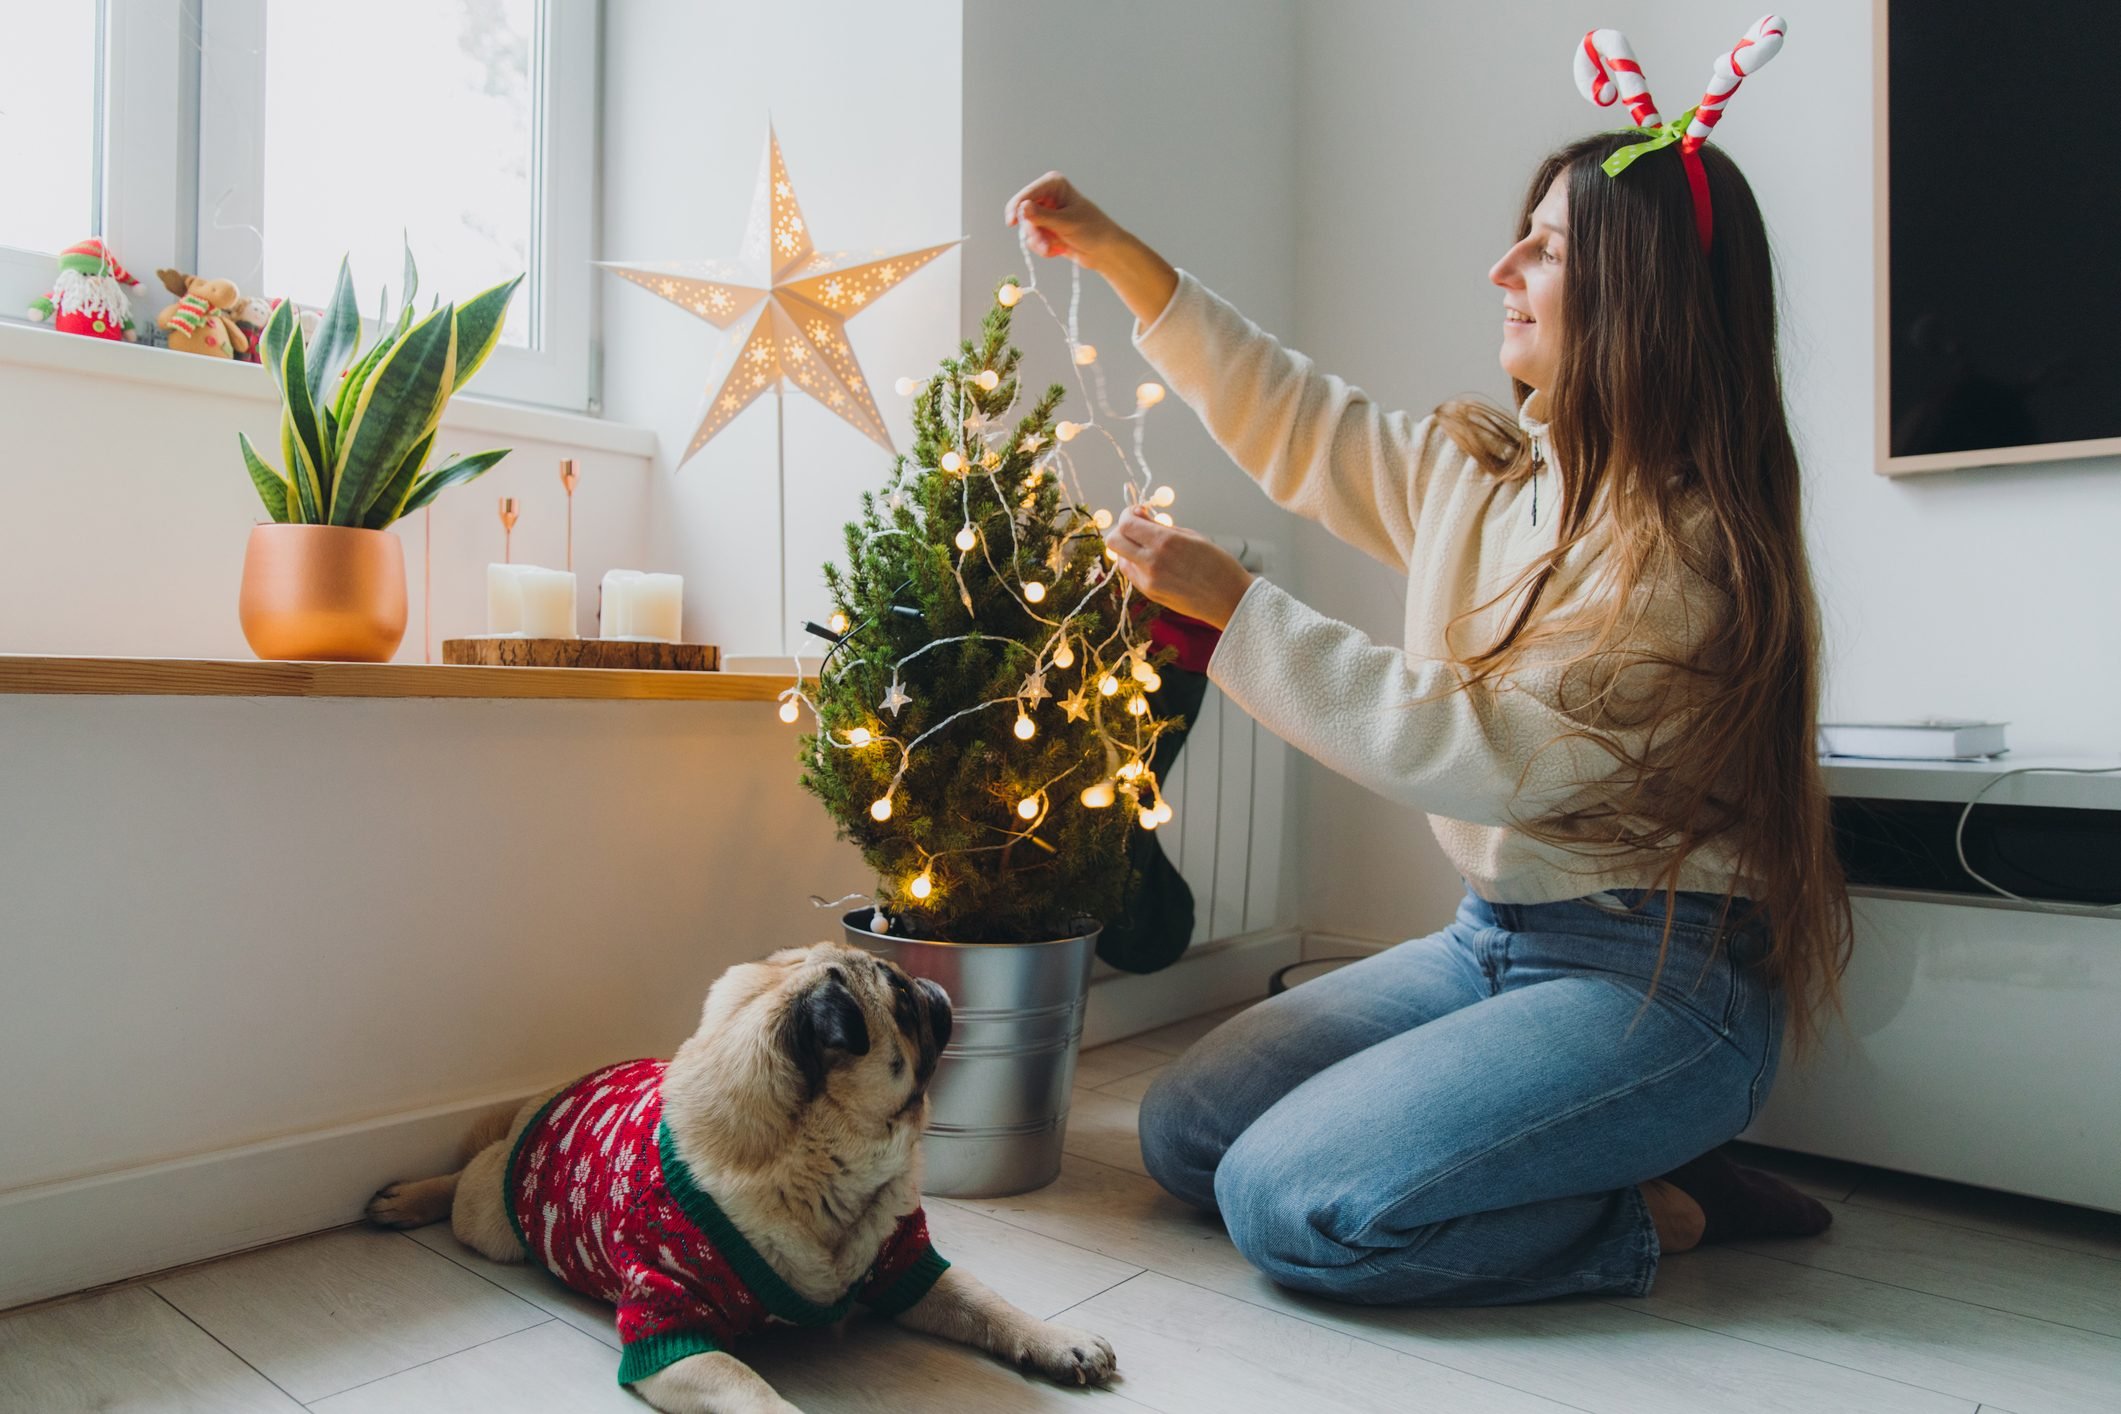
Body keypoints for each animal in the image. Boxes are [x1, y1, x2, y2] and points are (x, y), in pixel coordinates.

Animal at [366, 941, 1119, 1414]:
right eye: (903, 1000)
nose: (933, 986)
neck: (822, 1170)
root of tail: (563, 1087)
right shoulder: (673, 1335)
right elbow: (753, 1391)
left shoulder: (905, 1266)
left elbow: (987, 1304)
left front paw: (1058, 1342)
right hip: (490, 1219)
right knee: (467, 1177)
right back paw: (406, 1198)